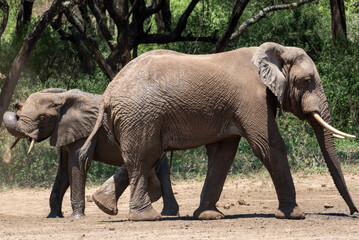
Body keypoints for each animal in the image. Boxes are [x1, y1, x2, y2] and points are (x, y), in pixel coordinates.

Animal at [1, 89, 179, 218]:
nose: (15, 107)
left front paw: (77, 217)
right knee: (160, 167)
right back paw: (168, 213)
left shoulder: (86, 129)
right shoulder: (65, 131)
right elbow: (63, 170)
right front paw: (53, 216)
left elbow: (79, 162)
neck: (60, 96)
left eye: (43, 117)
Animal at [80, 41, 358, 221]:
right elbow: (269, 146)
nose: (354, 212)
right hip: (140, 117)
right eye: (306, 81)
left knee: (145, 157)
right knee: (143, 157)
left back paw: (104, 206)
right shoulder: (251, 99)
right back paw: (146, 218)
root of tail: (108, 92)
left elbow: (223, 154)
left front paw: (208, 216)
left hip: (137, 119)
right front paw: (294, 215)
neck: (273, 51)